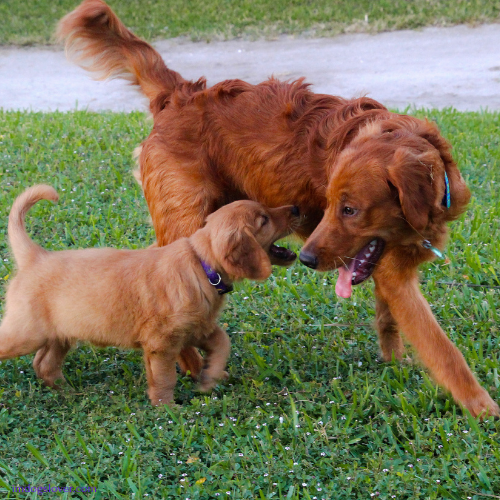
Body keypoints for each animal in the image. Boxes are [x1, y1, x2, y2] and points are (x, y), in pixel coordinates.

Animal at [0, 186, 296, 404]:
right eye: (264, 220)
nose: (296, 208)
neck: (201, 265)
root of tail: (36, 256)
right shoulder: (162, 342)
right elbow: (165, 377)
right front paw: (167, 409)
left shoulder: (197, 327)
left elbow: (223, 342)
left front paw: (210, 377)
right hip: (25, 333)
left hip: (61, 332)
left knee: (44, 364)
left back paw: (69, 390)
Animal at [57, 0, 496, 416]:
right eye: (333, 205)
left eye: (349, 210)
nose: (307, 259)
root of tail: (181, 94)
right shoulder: (397, 278)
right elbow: (443, 350)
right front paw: (480, 406)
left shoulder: (387, 269)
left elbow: (388, 318)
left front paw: (395, 363)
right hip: (186, 228)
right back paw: (190, 365)